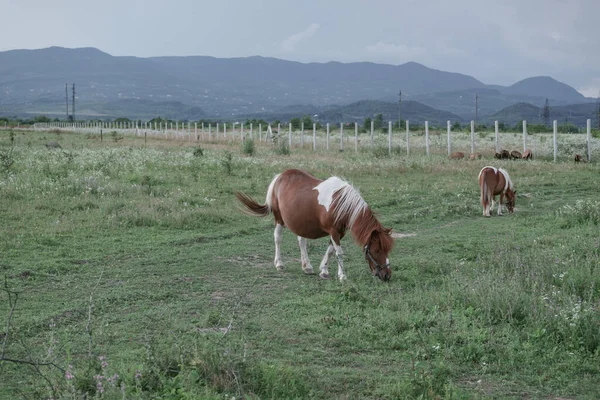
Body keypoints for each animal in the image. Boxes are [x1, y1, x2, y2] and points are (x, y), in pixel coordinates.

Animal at [237, 169, 396, 282]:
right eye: (376, 250)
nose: (387, 275)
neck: (341, 204)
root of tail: (279, 177)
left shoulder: (339, 232)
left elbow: (330, 250)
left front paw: (324, 271)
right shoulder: (334, 231)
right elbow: (339, 252)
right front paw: (342, 275)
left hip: (299, 222)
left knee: (301, 241)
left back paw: (307, 266)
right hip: (279, 219)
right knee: (278, 238)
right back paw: (279, 264)